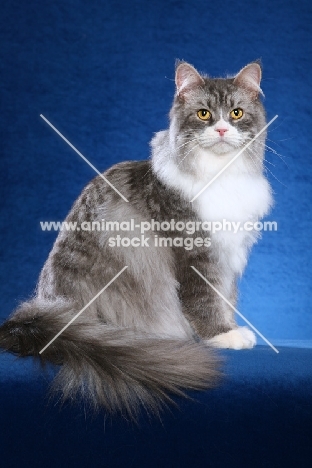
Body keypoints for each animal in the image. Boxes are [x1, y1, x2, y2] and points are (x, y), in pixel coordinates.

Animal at [0, 59, 272, 416]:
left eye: (236, 113)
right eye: (204, 114)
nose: (223, 130)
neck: (221, 174)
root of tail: (39, 318)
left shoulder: (227, 256)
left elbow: (225, 297)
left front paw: (230, 329)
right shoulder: (196, 253)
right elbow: (205, 300)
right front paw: (223, 336)